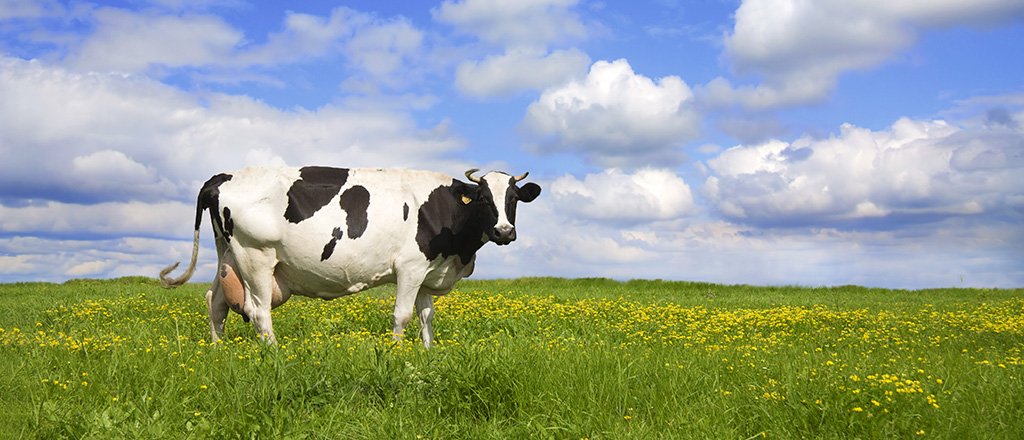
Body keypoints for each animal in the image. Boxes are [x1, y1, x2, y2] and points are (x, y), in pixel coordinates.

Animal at [159, 166, 541, 348]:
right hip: (255, 255)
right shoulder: (410, 267)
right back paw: (276, 354)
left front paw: (428, 353)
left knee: (215, 300)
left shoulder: (429, 272)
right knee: (258, 311)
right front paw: (397, 354)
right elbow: (402, 316)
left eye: (514, 199)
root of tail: (224, 176)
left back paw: (218, 349)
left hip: (228, 254)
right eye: (483, 199)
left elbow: (426, 318)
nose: (504, 231)